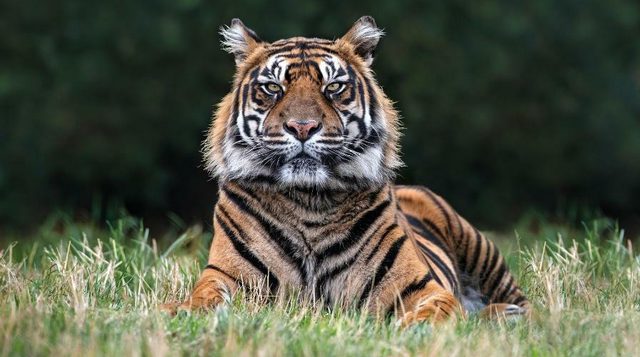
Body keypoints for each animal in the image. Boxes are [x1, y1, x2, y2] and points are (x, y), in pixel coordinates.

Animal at [161, 16, 528, 322]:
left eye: (333, 87)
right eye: (273, 88)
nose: (303, 126)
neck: (307, 201)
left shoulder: (418, 286)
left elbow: (435, 311)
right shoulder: (227, 276)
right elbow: (204, 298)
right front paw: (179, 311)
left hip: (478, 248)